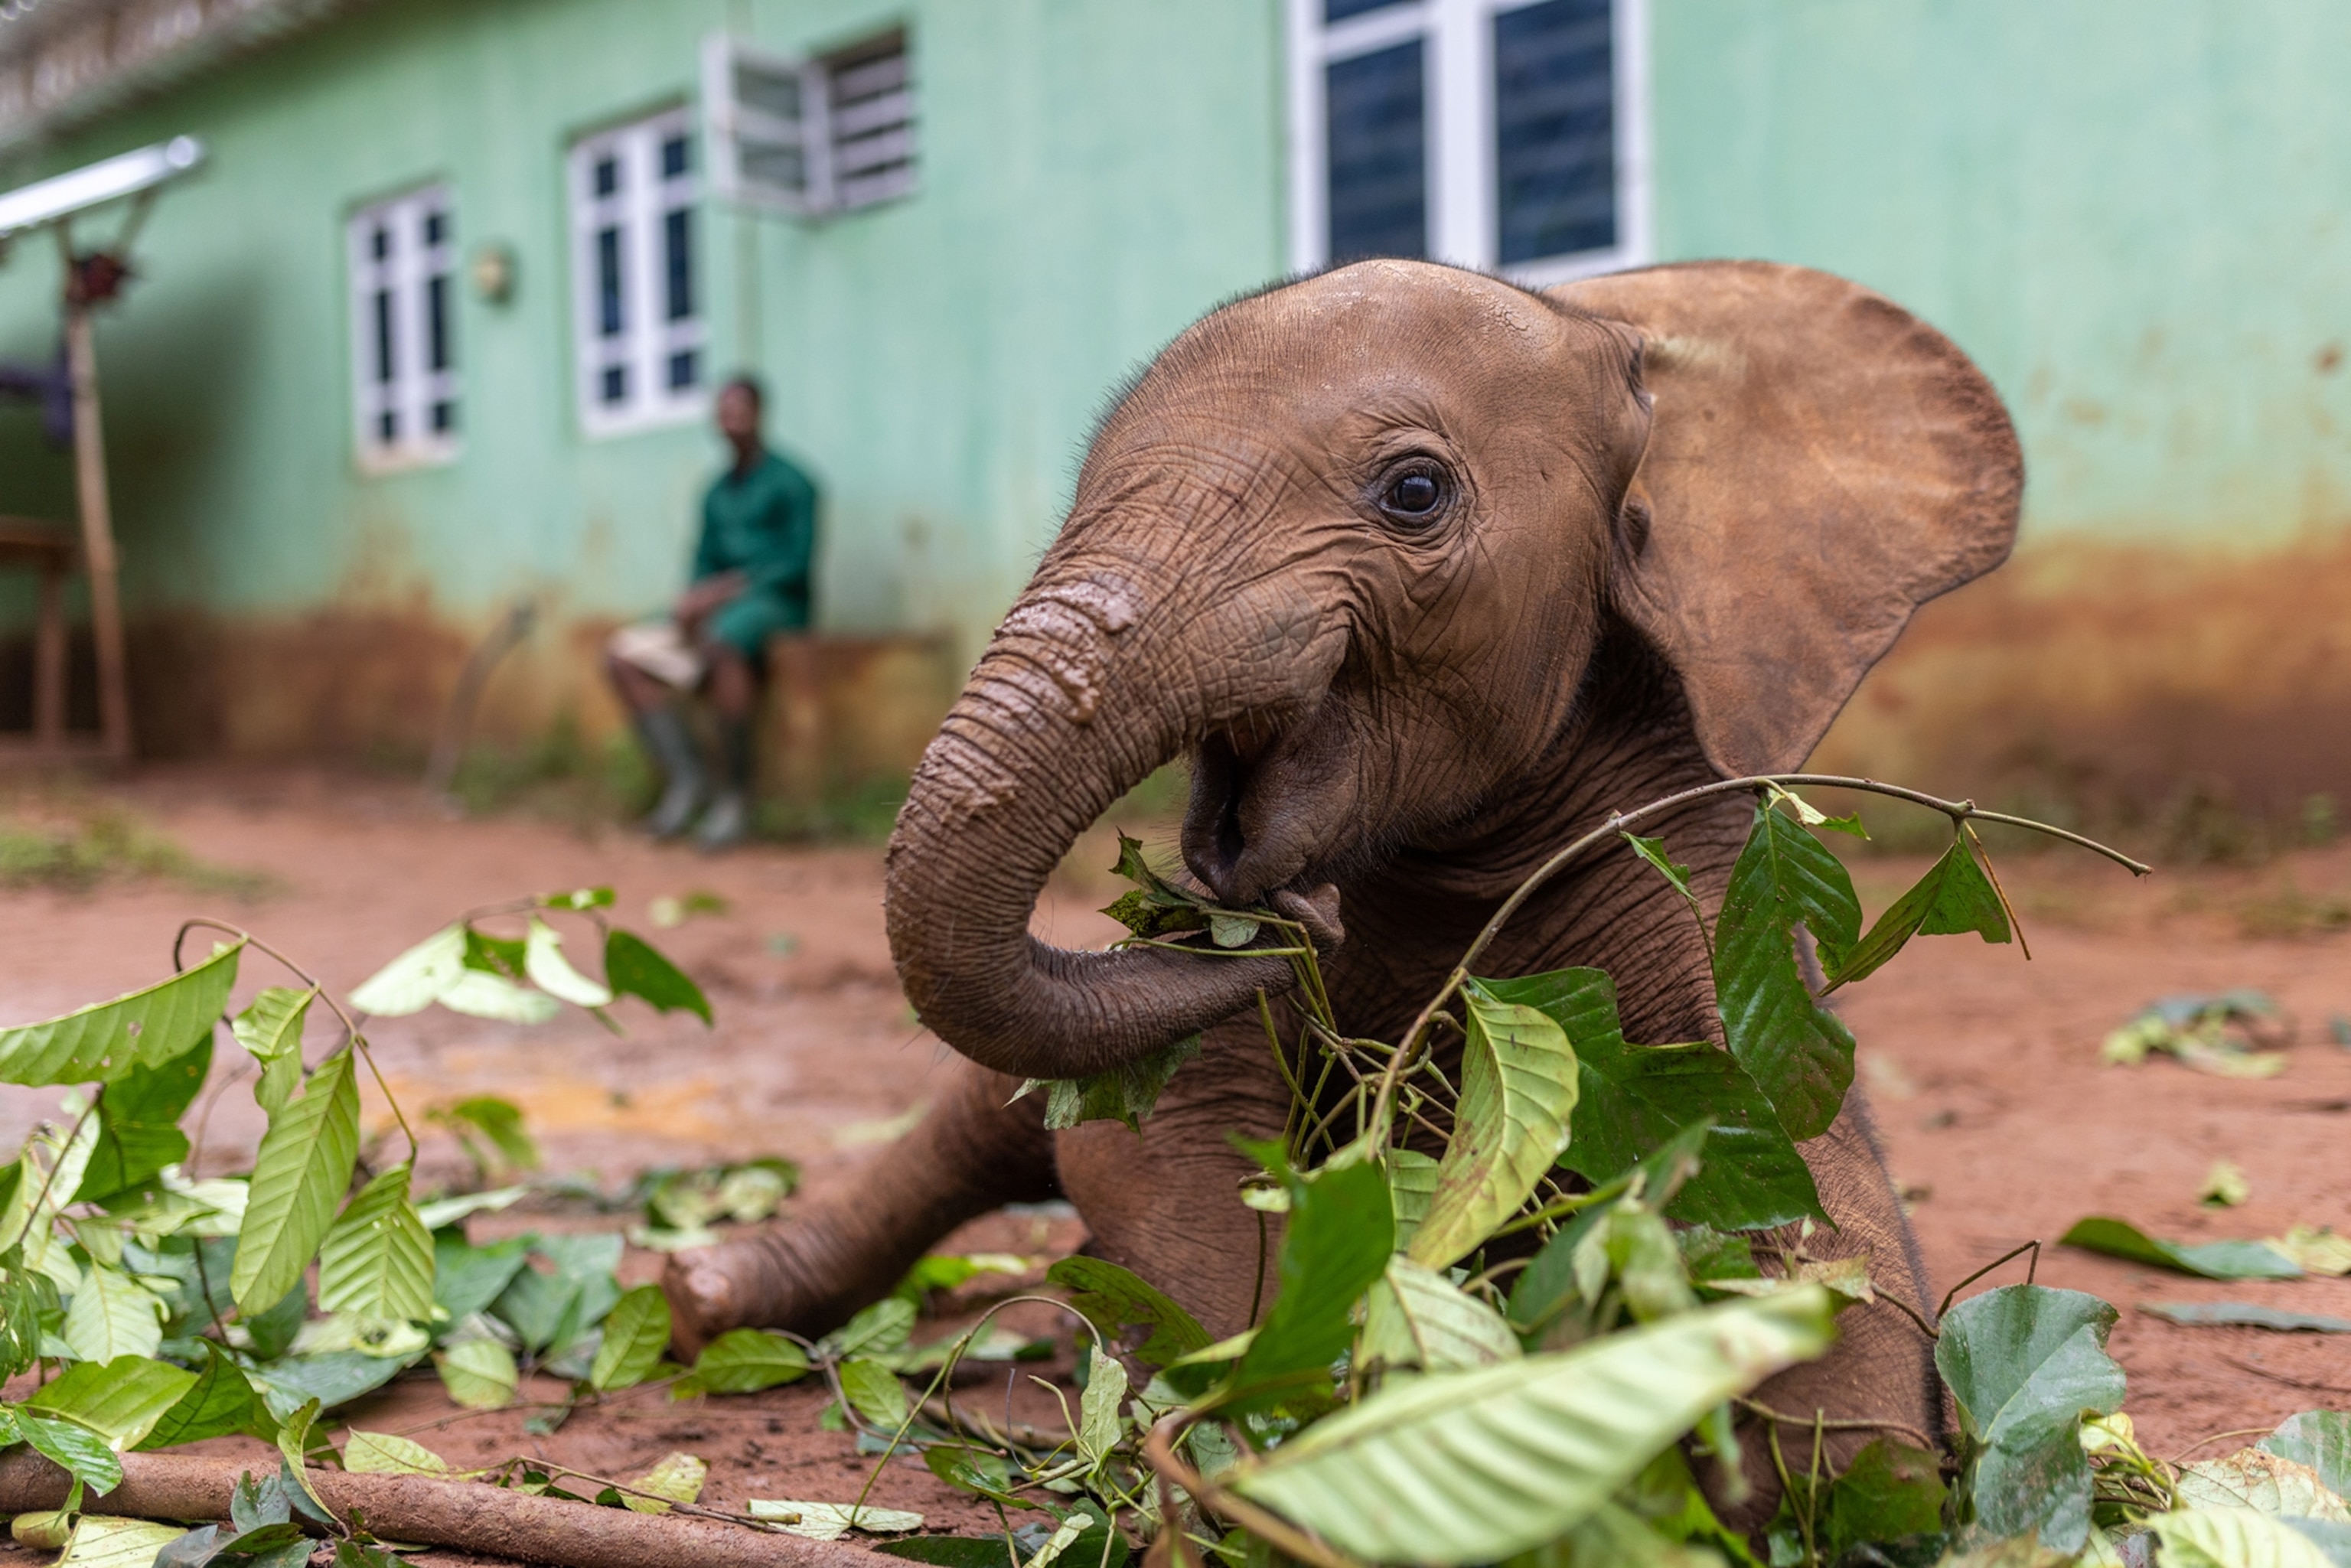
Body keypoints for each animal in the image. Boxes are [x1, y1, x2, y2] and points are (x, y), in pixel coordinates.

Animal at [665, 257, 2022, 1517]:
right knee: (975, 1127)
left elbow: (1838, 1329)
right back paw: (702, 1300)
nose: (1270, 923)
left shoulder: (1709, 917)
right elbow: (1177, 1164)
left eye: (1413, 492)